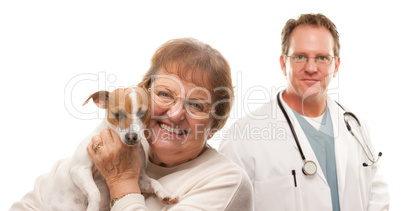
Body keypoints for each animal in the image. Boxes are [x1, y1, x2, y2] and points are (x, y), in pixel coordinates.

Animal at [41, 86, 178, 210]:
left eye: (143, 112)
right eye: (117, 114)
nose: (131, 137)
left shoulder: (140, 179)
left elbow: (154, 181)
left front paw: (165, 193)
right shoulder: (79, 169)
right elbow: (95, 193)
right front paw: (93, 208)